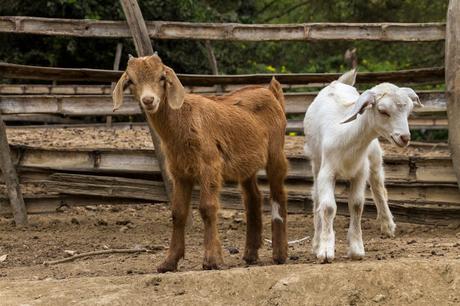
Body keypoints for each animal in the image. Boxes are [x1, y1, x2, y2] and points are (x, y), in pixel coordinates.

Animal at [112, 55, 288, 272]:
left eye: (162, 77)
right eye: (131, 81)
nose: (148, 100)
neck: (182, 120)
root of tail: (271, 92)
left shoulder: (209, 166)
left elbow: (207, 208)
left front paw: (212, 259)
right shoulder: (179, 173)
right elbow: (178, 213)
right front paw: (169, 262)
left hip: (275, 151)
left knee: (278, 193)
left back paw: (280, 254)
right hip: (245, 163)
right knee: (253, 197)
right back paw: (250, 254)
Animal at [304, 69, 422, 262]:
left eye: (409, 111)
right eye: (382, 110)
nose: (405, 138)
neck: (347, 139)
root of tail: (337, 83)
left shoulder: (360, 172)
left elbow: (357, 205)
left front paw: (356, 249)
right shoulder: (327, 172)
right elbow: (328, 207)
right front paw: (325, 251)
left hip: (374, 156)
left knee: (379, 187)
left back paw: (387, 224)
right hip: (315, 161)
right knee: (316, 197)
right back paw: (316, 242)